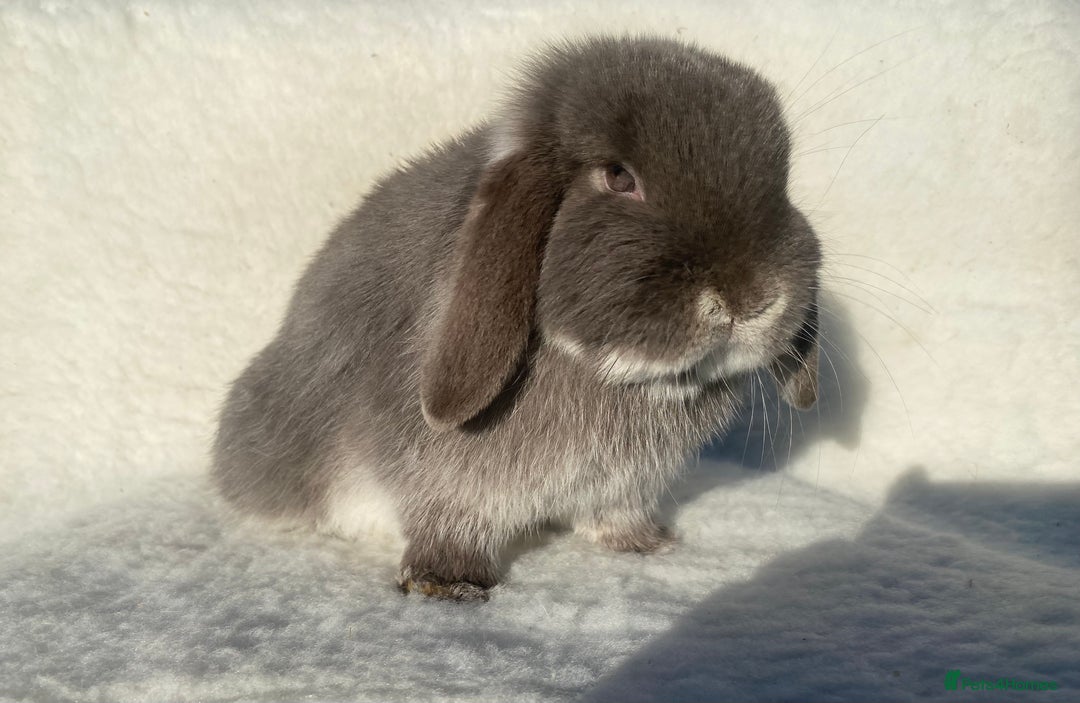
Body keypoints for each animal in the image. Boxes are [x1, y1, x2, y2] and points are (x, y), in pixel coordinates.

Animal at [212, 35, 822, 602]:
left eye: (781, 181)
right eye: (619, 177)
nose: (753, 299)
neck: (619, 379)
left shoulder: (624, 485)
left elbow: (616, 516)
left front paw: (646, 543)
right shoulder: (448, 482)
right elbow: (448, 525)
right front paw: (448, 584)